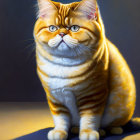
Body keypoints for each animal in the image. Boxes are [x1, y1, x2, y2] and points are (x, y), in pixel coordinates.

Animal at [33, 0, 139, 139]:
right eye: (52, 28)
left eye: (74, 28)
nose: (62, 33)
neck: (64, 65)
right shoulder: (55, 98)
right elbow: (61, 118)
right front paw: (59, 132)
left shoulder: (93, 95)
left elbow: (89, 118)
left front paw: (88, 133)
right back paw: (75, 129)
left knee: (114, 125)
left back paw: (106, 130)